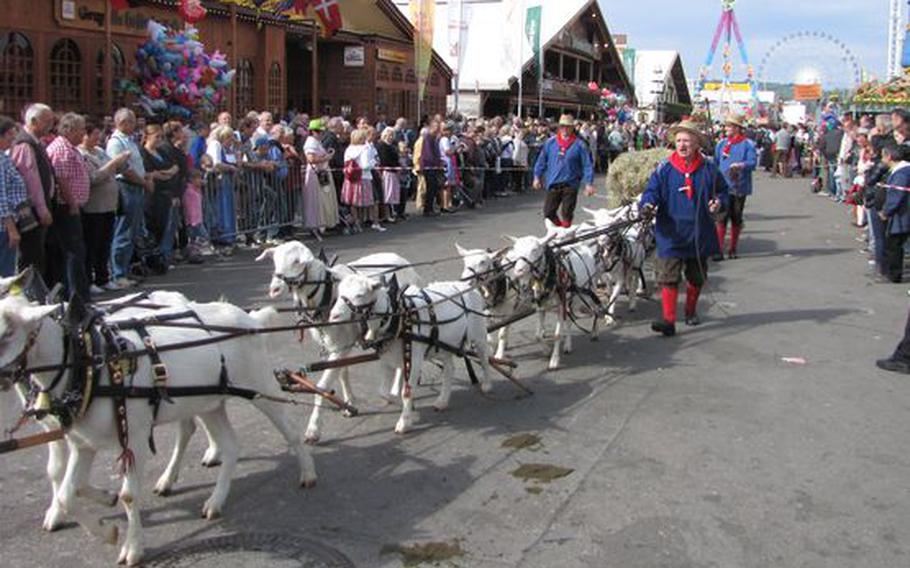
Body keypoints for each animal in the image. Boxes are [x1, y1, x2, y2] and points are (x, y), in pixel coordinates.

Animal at [0, 296, 318, 564]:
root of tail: (249, 319)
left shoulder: (135, 437)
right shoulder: (83, 444)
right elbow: (67, 494)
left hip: (260, 385)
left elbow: (128, 496)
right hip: (209, 402)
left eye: (7, 333)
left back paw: (307, 474)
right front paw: (107, 532)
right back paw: (214, 500)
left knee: (289, 430)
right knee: (229, 444)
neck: (92, 366)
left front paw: (132, 548)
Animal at [255, 240, 422, 444]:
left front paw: (313, 429)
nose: (274, 289)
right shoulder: (337, 345)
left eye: (297, 261)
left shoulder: (340, 347)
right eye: (275, 261)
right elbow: (342, 373)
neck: (327, 295)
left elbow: (323, 386)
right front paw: (349, 403)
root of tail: (403, 260)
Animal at [332, 272, 496, 432]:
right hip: (445, 345)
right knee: (449, 368)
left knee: (484, 357)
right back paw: (442, 401)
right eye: (340, 292)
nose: (333, 316)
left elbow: (406, 391)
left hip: (479, 333)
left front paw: (404, 421)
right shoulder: (387, 361)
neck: (396, 317)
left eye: (359, 295)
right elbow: (383, 391)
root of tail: (468, 287)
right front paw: (403, 403)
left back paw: (487, 384)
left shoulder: (412, 360)